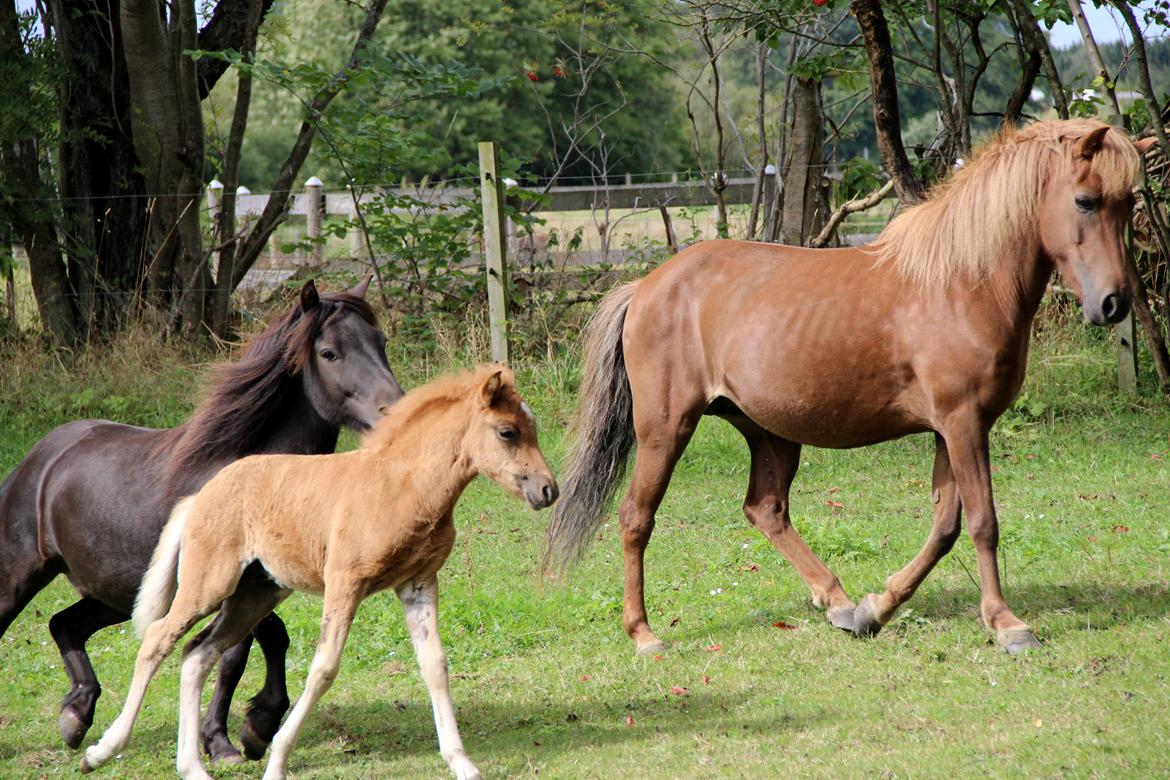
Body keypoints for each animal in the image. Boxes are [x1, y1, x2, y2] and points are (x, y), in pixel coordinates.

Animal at [0, 279, 404, 762]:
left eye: (381, 342)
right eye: (329, 353)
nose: (399, 412)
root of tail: (41, 456)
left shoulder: (259, 583)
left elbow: (263, 641)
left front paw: (257, 725)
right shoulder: (233, 582)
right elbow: (233, 654)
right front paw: (226, 739)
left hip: (115, 595)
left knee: (64, 625)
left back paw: (76, 715)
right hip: (20, 579)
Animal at [81, 367, 556, 780]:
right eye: (507, 432)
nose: (547, 489)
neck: (402, 487)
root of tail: (201, 495)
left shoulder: (418, 583)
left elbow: (435, 665)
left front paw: (463, 764)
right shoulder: (345, 582)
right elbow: (324, 668)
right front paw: (276, 762)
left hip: (257, 593)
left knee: (197, 655)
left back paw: (193, 768)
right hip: (210, 584)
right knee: (157, 640)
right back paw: (101, 751)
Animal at [545, 120, 1151, 659]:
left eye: (1128, 203)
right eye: (1085, 201)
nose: (1114, 303)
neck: (959, 283)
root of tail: (646, 286)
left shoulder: (951, 430)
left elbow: (945, 526)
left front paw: (875, 609)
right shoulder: (963, 422)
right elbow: (982, 522)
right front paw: (1007, 625)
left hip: (769, 432)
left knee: (765, 509)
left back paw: (836, 601)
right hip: (666, 429)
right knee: (636, 518)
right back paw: (644, 634)